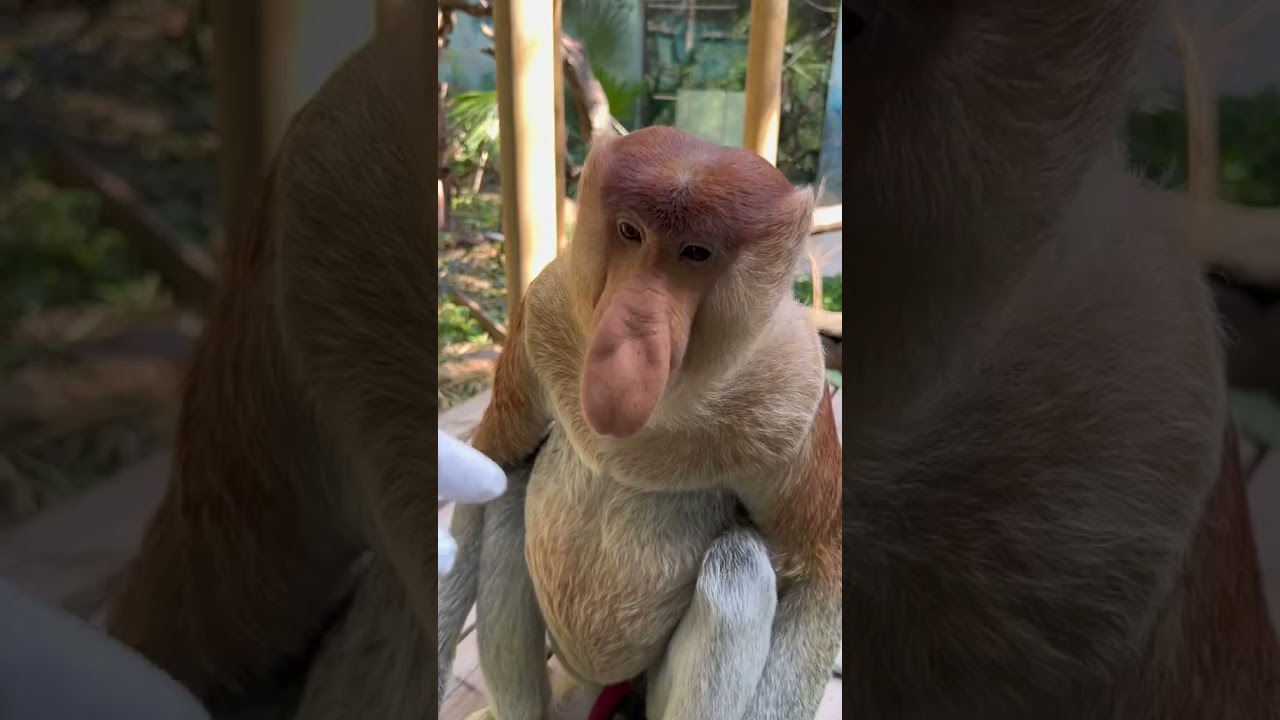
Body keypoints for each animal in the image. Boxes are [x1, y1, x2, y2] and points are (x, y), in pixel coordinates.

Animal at [437, 125, 843, 720]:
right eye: (631, 232)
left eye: (695, 252)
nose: (629, 334)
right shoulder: (544, 307)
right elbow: (496, 461)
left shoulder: (797, 391)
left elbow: (817, 579)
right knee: (511, 495)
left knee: (739, 567)